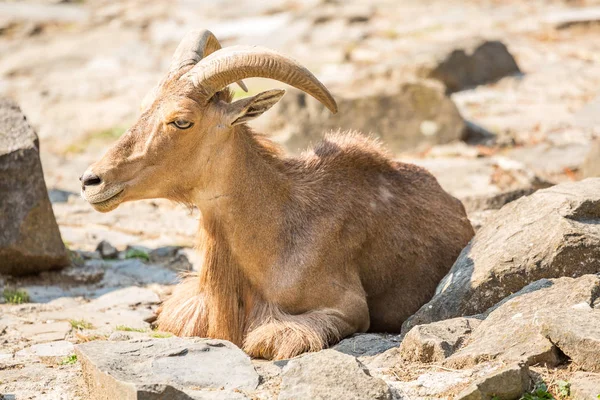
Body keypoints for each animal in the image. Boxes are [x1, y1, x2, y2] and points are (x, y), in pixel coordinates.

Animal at [81, 28, 474, 360]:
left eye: (181, 121)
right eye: (145, 106)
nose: (91, 181)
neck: (278, 228)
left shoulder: (347, 309)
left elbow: (269, 339)